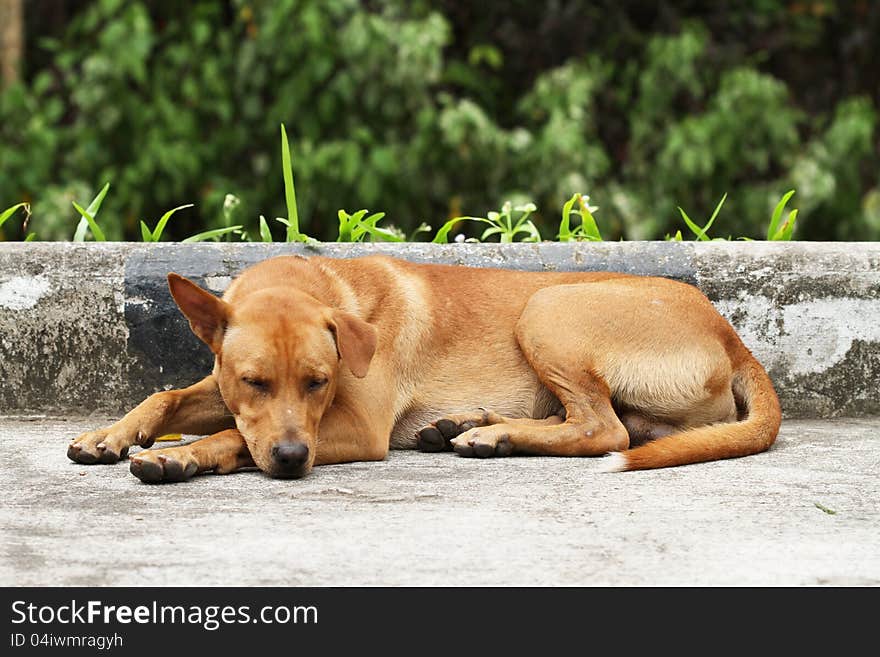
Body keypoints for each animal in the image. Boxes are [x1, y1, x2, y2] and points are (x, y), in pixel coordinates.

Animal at [69, 256, 784, 482]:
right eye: (254, 381)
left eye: (318, 382)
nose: (294, 460)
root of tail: (733, 336)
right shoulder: (224, 390)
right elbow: (167, 395)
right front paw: (110, 434)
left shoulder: (356, 430)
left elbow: (230, 438)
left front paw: (182, 455)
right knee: (611, 425)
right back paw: (468, 425)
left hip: (547, 309)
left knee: (602, 430)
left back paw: (492, 434)